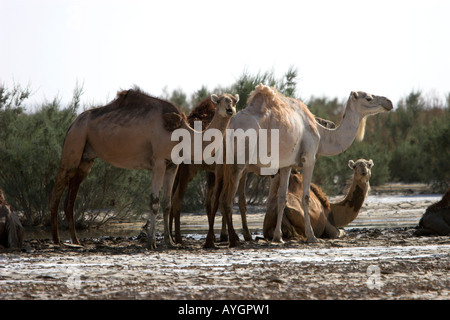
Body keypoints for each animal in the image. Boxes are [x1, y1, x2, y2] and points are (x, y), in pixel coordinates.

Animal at [49, 87, 237, 250]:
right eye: (221, 101)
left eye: (234, 100)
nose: (230, 110)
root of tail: (72, 123)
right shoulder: (158, 161)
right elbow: (154, 202)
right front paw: (151, 242)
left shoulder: (173, 164)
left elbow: (167, 203)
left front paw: (169, 242)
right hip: (74, 145)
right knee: (57, 190)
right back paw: (57, 241)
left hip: (86, 158)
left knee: (70, 198)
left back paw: (76, 241)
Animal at [213, 84, 392, 248]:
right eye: (368, 98)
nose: (389, 102)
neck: (322, 135)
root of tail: (228, 129)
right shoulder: (309, 158)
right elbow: (305, 197)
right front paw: (312, 237)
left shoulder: (286, 164)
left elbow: (282, 198)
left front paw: (278, 237)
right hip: (238, 163)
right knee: (228, 200)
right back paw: (233, 240)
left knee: (222, 199)